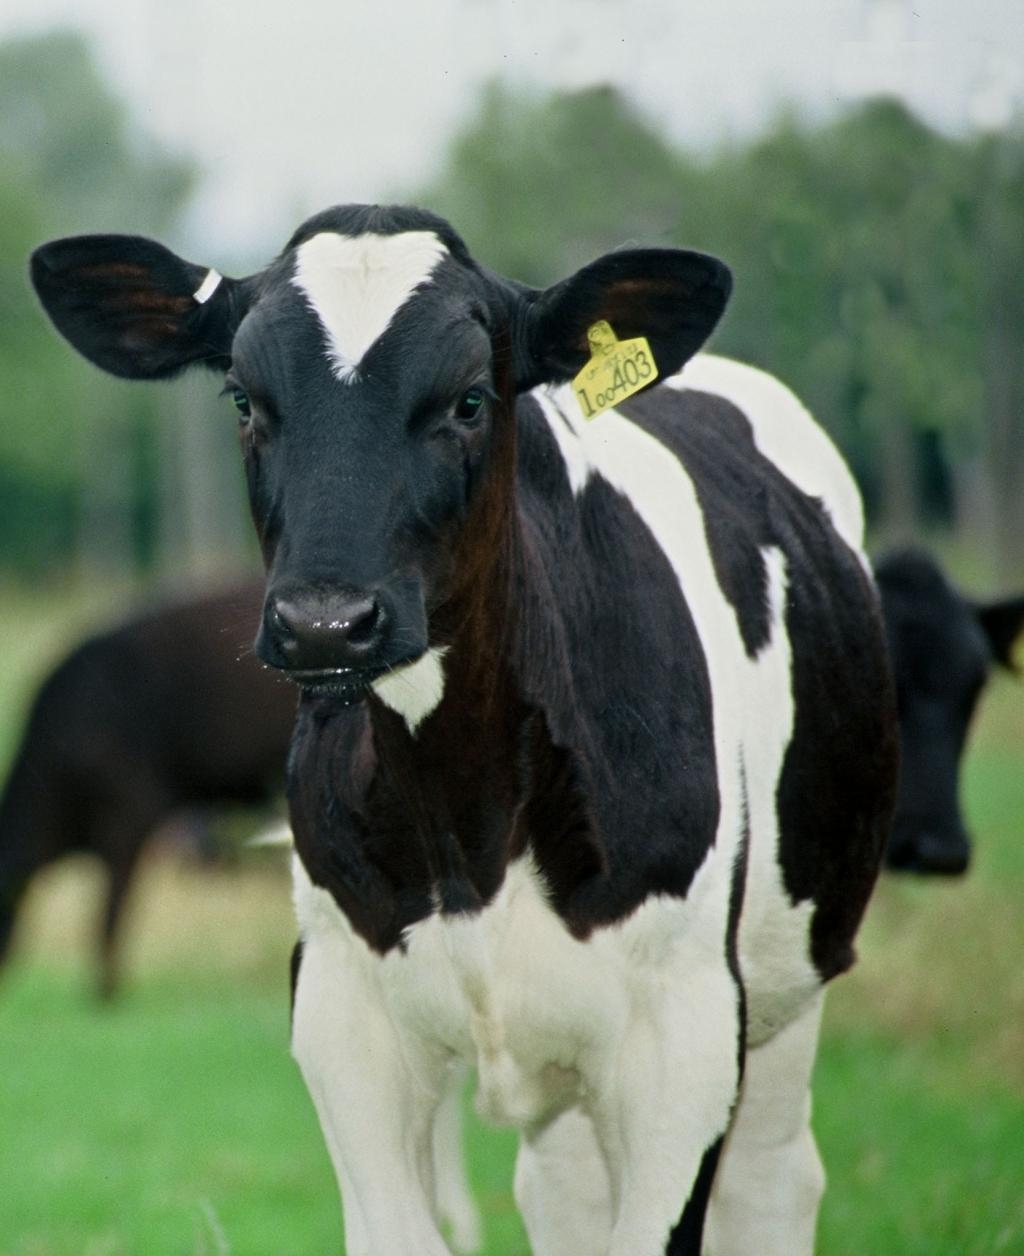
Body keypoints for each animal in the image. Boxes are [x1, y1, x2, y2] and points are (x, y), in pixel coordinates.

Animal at [30, 204, 898, 1255]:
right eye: (242, 400)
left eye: (471, 400)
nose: (325, 622)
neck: (466, 820)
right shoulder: (344, 1016)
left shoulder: (684, 1036)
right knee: (563, 1198)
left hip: (790, 976)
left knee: (773, 1185)